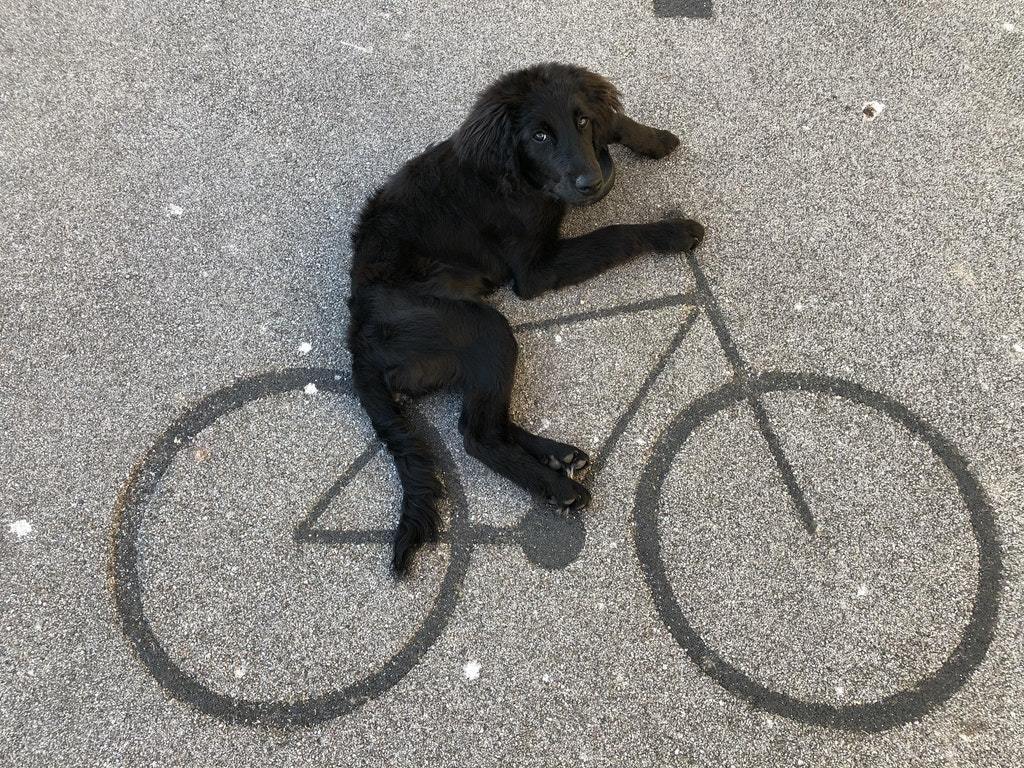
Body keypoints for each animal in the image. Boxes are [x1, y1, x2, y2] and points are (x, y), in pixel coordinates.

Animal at [348, 63, 700, 573]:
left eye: (579, 121)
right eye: (539, 135)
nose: (591, 182)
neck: (518, 178)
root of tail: (357, 338)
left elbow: (614, 119)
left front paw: (651, 138)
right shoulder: (536, 270)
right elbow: (614, 233)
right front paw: (672, 231)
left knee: (488, 418)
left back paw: (557, 455)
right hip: (483, 329)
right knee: (477, 435)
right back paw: (557, 487)